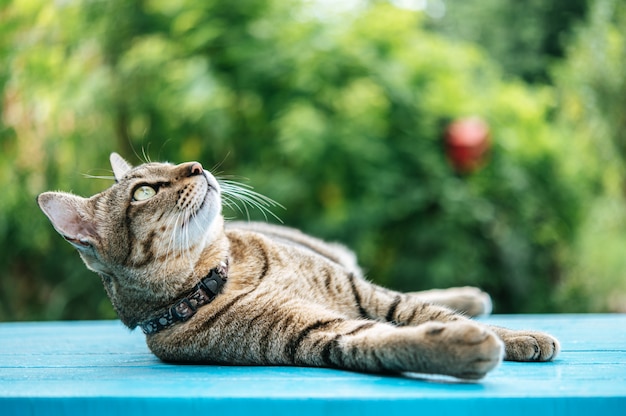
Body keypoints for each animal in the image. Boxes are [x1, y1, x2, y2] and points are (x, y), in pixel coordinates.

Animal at [36, 154, 560, 380]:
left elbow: (417, 311)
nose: (196, 166)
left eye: (170, 162)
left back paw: (474, 297)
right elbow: (386, 340)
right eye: (143, 191)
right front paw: (461, 346)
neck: (223, 273)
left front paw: (517, 335)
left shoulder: (362, 293)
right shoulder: (318, 335)